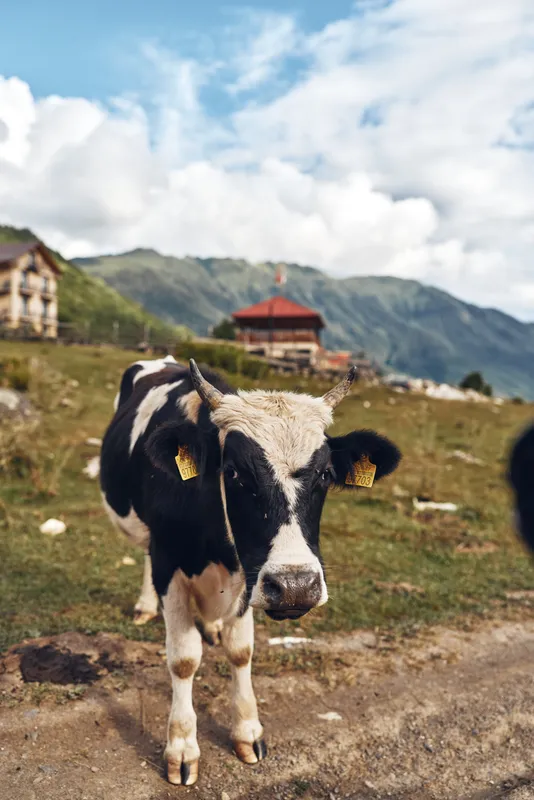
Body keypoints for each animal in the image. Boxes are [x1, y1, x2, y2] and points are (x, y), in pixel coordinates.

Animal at [100, 355, 401, 786]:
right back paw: (145, 606)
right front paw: (182, 747)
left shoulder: (251, 574)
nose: (295, 586)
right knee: (144, 555)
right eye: (234, 472)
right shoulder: (169, 561)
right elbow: (183, 659)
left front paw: (247, 730)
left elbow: (241, 652)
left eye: (326, 474)